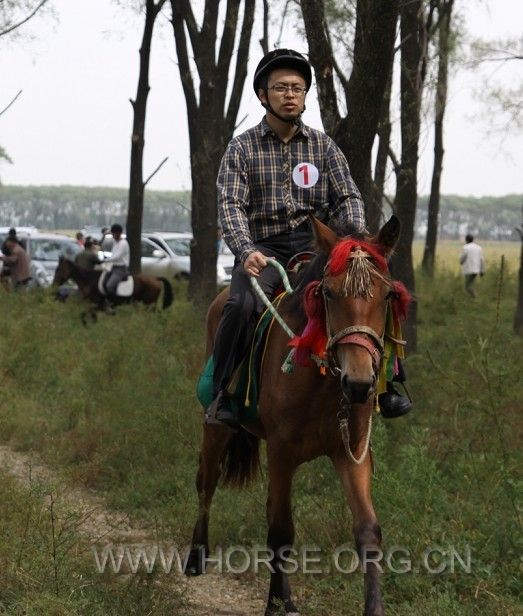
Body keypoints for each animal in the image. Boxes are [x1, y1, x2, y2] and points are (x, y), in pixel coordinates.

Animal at [186, 217, 412, 616]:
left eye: (387, 296)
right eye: (329, 294)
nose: (359, 383)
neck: (322, 380)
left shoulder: (352, 453)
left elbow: (368, 529)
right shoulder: (281, 451)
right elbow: (280, 530)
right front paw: (279, 603)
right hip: (216, 430)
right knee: (206, 483)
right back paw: (197, 557)